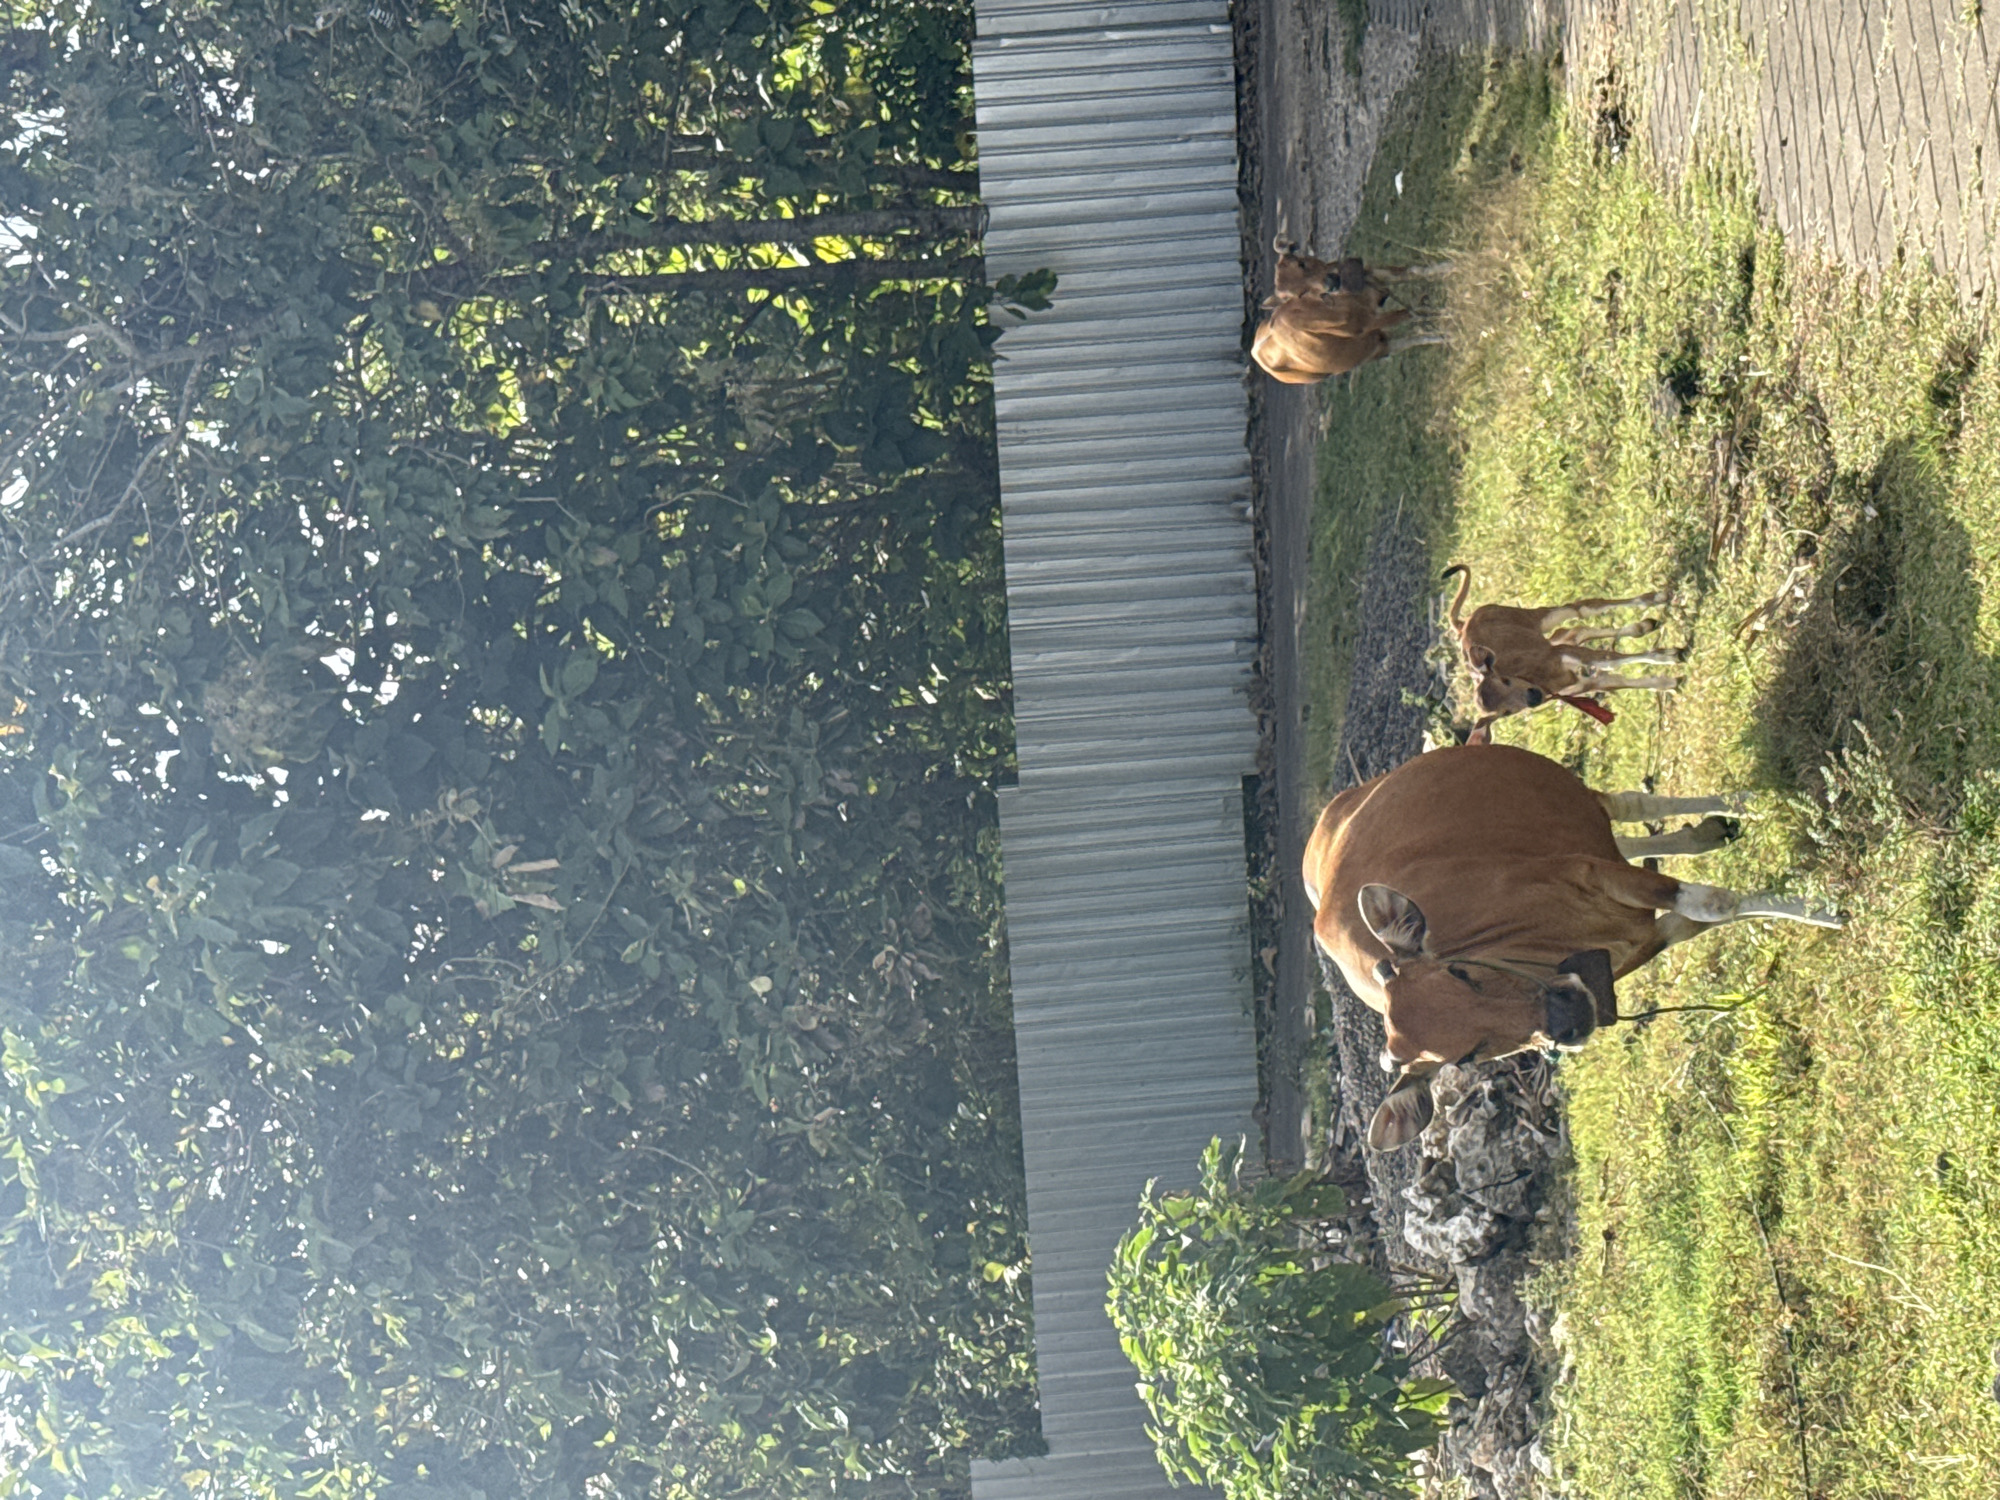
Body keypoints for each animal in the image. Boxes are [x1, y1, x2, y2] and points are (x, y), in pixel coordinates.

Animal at [1302, 744, 1843, 1152]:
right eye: (1466, 1059)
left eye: (1461, 972)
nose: (1568, 1017)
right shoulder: (1632, 942)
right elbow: (1712, 912)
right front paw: (1817, 905)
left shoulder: (1592, 872)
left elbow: (1713, 902)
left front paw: (1827, 907)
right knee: (1629, 835)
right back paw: (1707, 833)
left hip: (1576, 796)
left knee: (1630, 805)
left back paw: (1740, 803)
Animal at [1442, 564, 1682, 738]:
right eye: (1505, 713)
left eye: (1505, 680)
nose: (1532, 698)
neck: (1546, 679)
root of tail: (1462, 625)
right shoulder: (1582, 684)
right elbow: (1619, 680)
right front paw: (1669, 682)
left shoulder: (1563, 654)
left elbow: (1611, 659)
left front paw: (1669, 655)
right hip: (1550, 637)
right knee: (1575, 631)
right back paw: (1642, 626)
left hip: (1537, 618)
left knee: (1582, 608)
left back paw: (1656, 599)